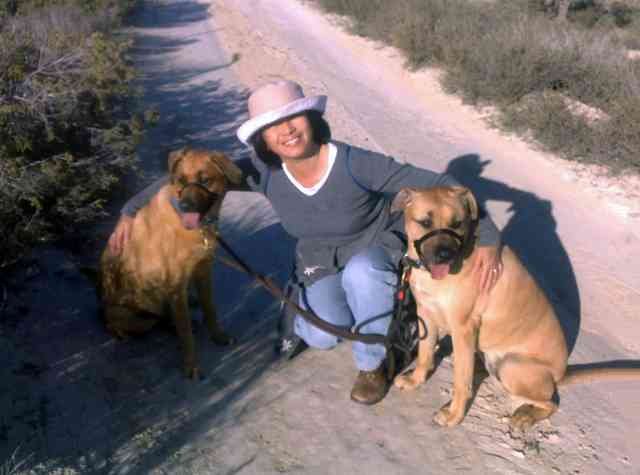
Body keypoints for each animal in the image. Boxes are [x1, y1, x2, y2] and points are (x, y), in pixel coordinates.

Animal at [100, 148, 242, 380]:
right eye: (181, 180)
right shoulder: (176, 286)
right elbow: (185, 332)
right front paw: (191, 366)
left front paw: (218, 336)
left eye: (205, 180)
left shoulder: (203, 271)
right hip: (135, 315)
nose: (185, 206)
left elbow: (210, 308)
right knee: (136, 322)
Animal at [390, 187, 640, 432]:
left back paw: (526, 415)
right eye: (425, 222)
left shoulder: (463, 328)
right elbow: (424, 355)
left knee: (552, 402)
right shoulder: (425, 314)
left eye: (457, 223)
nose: (445, 256)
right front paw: (415, 380)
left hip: (511, 366)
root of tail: (560, 374)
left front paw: (454, 415)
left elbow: (461, 382)